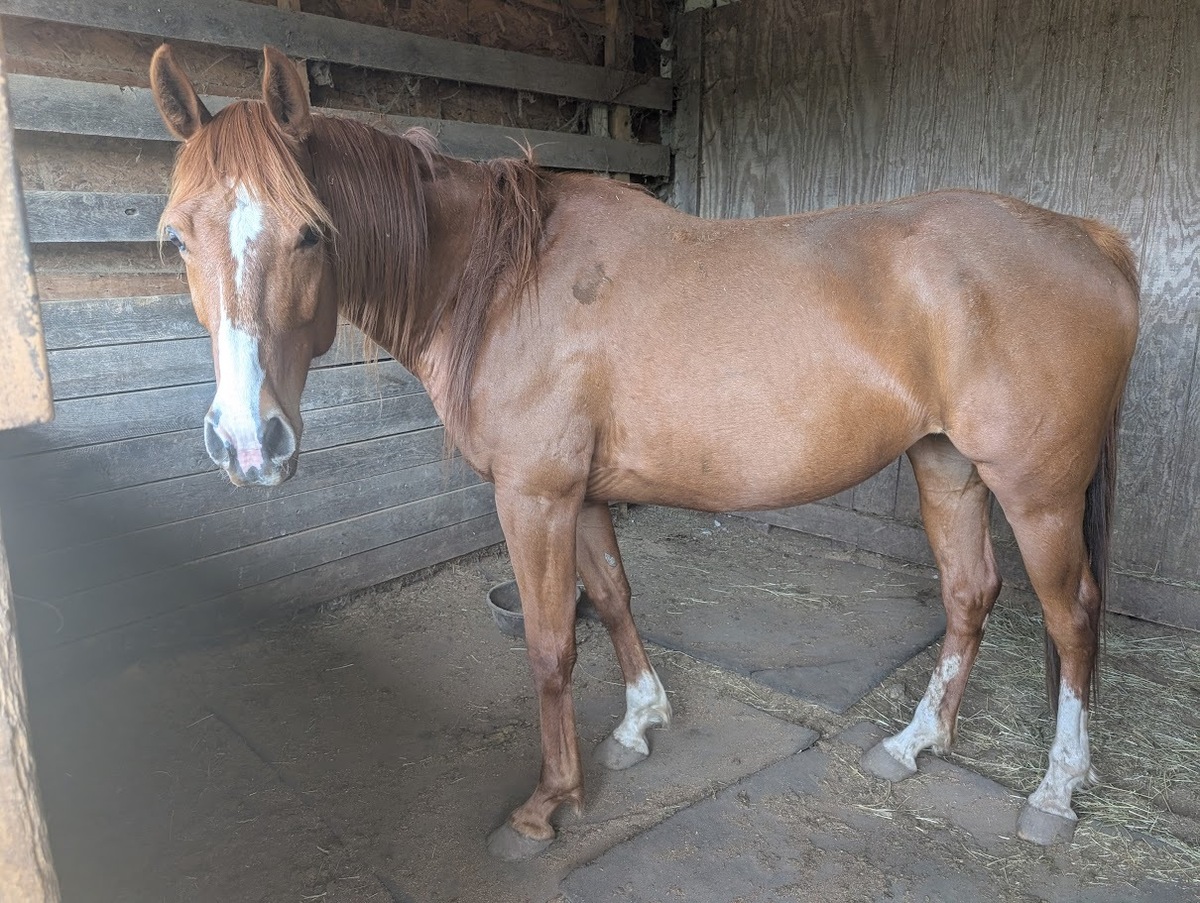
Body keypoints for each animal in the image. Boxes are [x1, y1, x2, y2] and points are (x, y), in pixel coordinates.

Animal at [150, 44, 1139, 861]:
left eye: (310, 231)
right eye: (177, 237)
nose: (248, 441)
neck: (498, 281)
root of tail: (1094, 238)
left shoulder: (533, 496)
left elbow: (551, 644)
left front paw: (545, 806)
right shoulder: (581, 494)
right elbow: (616, 599)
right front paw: (639, 723)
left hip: (1038, 494)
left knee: (1072, 617)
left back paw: (1054, 791)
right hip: (947, 466)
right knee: (970, 594)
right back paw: (913, 743)